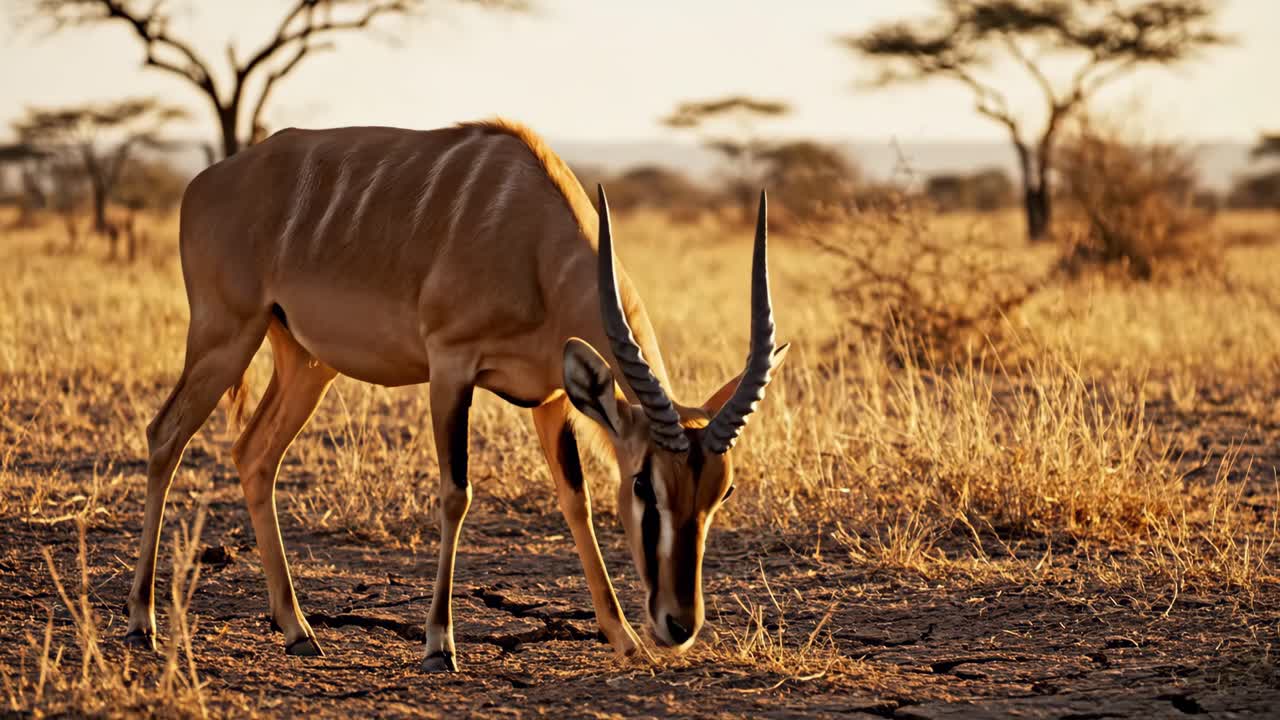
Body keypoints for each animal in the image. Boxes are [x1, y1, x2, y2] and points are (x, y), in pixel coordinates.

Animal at [124, 120, 787, 672]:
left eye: (722, 490)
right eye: (645, 483)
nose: (679, 624)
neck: (530, 236)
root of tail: (205, 183)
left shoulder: (549, 399)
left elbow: (575, 502)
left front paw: (622, 639)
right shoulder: (450, 367)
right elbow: (455, 494)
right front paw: (439, 645)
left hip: (305, 364)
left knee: (254, 454)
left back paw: (298, 630)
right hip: (225, 336)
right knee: (165, 436)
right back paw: (142, 623)